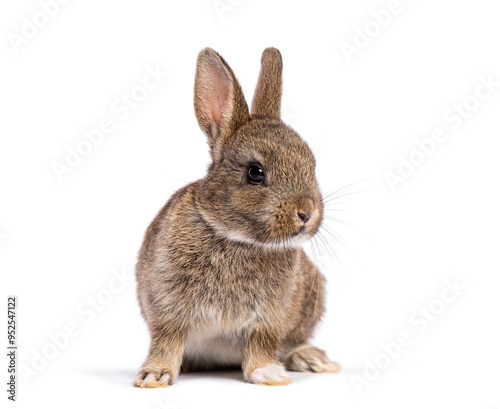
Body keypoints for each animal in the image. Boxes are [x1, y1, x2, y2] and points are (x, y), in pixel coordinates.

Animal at [134, 47, 340, 386]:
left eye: (311, 163)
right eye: (255, 173)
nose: (306, 213)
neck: (235, 236)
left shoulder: (268, 317)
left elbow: (262, 342)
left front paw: (268, 374)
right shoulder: (167, 306)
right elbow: (168, 338)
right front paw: (154, 376)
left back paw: (311, 359)